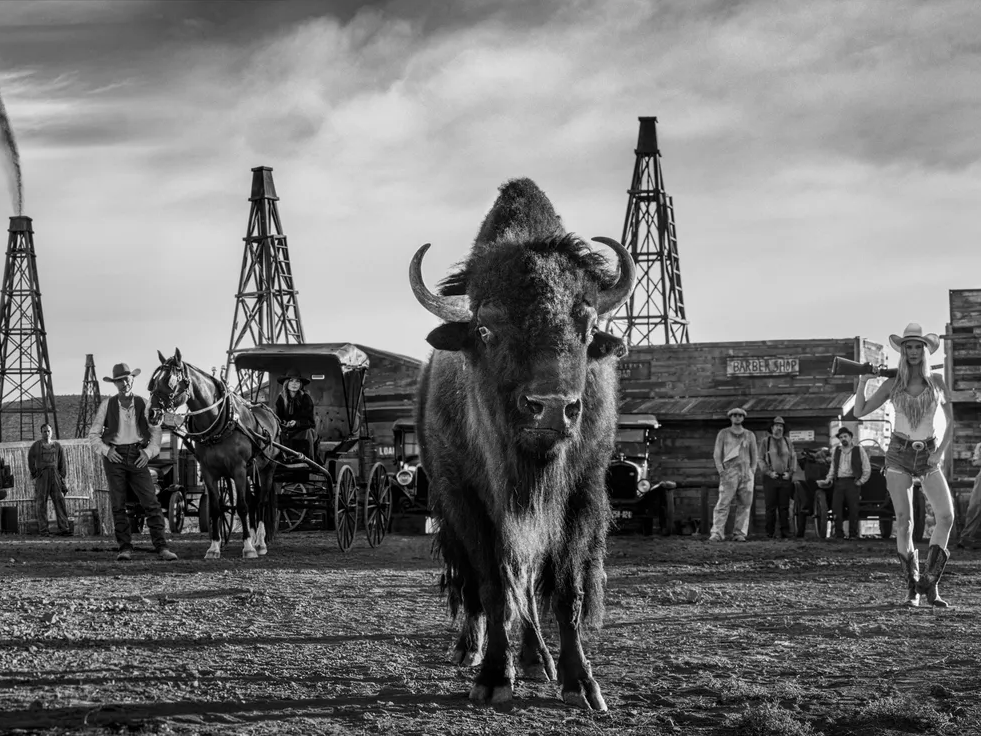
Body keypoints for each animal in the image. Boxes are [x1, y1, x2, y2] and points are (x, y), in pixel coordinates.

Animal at [409, 178, 635, 710]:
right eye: (486, 329)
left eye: (587, 327)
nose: (551, 407)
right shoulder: (468, 501)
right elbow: (492, 587)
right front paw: (493, 678)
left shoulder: (578, 498)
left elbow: (565, 591)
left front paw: (580, 683)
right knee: (476, 585)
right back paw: (468, 649)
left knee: (528, 586)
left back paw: (536, 660)